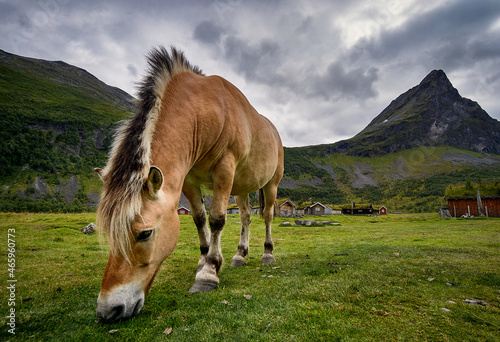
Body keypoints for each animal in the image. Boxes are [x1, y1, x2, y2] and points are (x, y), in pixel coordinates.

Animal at [94, 46, 282, 322]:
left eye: (145, 233)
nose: (109, 310)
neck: (205, 110)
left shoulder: (225, 170)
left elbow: (216, 219)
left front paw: (209, 273)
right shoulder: (189, 180)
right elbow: (199, 219)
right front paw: (205, 259)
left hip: (271, 185)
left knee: (267, 216)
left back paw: (267, 254)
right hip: (241, 188)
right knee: (246, 217)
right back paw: (240, 255)